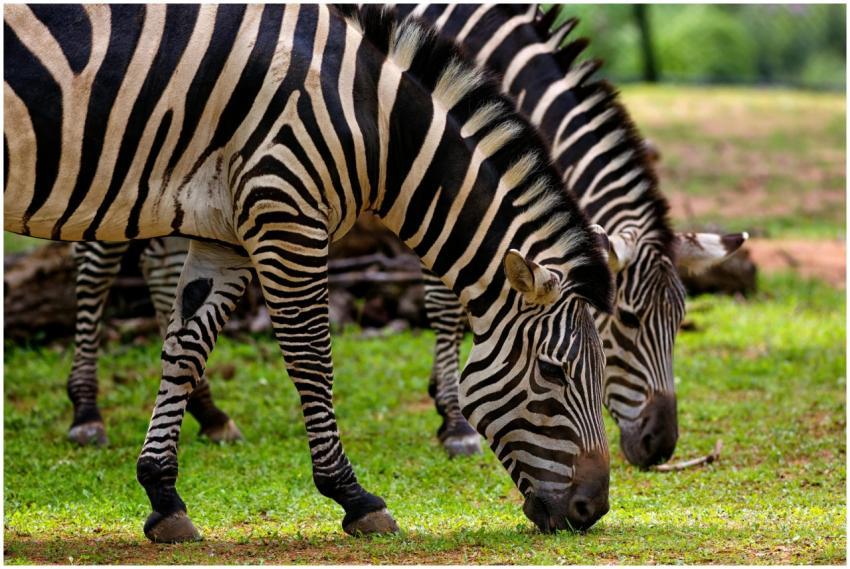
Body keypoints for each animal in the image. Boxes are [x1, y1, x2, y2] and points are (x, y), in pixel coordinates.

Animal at [5, 4, 616, 540]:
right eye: (554, 372)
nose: (593, 509)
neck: (374, 125)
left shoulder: (224, 233)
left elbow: (186, 345)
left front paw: (163, 496)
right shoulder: (285, 213)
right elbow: (312, 358)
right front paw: (355, 496)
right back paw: (87, 413)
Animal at [394, 4, 748, 465]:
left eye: (679, 320)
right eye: (628, 319)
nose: (660, 447)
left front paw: (444, 397)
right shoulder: (438, 189)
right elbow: (446, 306)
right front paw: (456, 424)